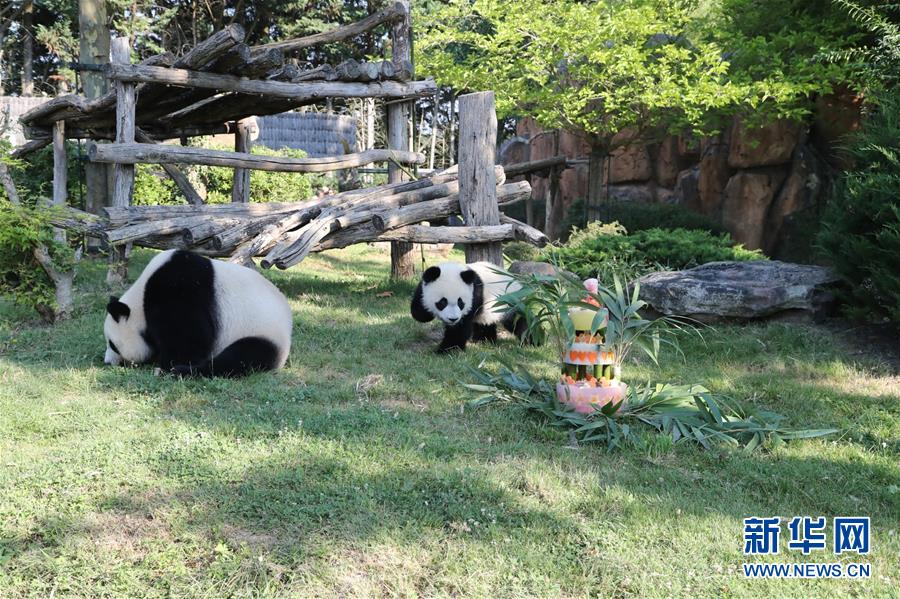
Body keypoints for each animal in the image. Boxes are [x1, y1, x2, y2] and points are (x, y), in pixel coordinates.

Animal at [103, 251, 292, 378]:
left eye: (113, 344)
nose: (107, 361)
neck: (140, 300)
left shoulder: (177, 291)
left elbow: (190, 337)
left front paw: (167, 366)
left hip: (262, 331)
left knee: (241, 357)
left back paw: (182, 372)